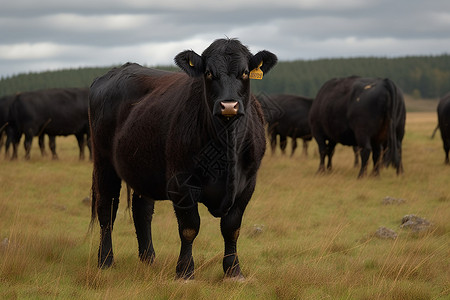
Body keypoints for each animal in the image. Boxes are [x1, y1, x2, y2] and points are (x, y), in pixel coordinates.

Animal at [88, 38, 278, 278]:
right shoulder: (181, 183)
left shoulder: (247, 185)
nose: (229, 105)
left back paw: (149, 260)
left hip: (142, 168)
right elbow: (189, 227)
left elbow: (231, 228)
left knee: (142, 212)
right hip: (104, 163)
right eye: (208, 73)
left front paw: (234, 271)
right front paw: (185, 272)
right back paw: (105, 261)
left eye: (244, 73)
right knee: (107, 210)